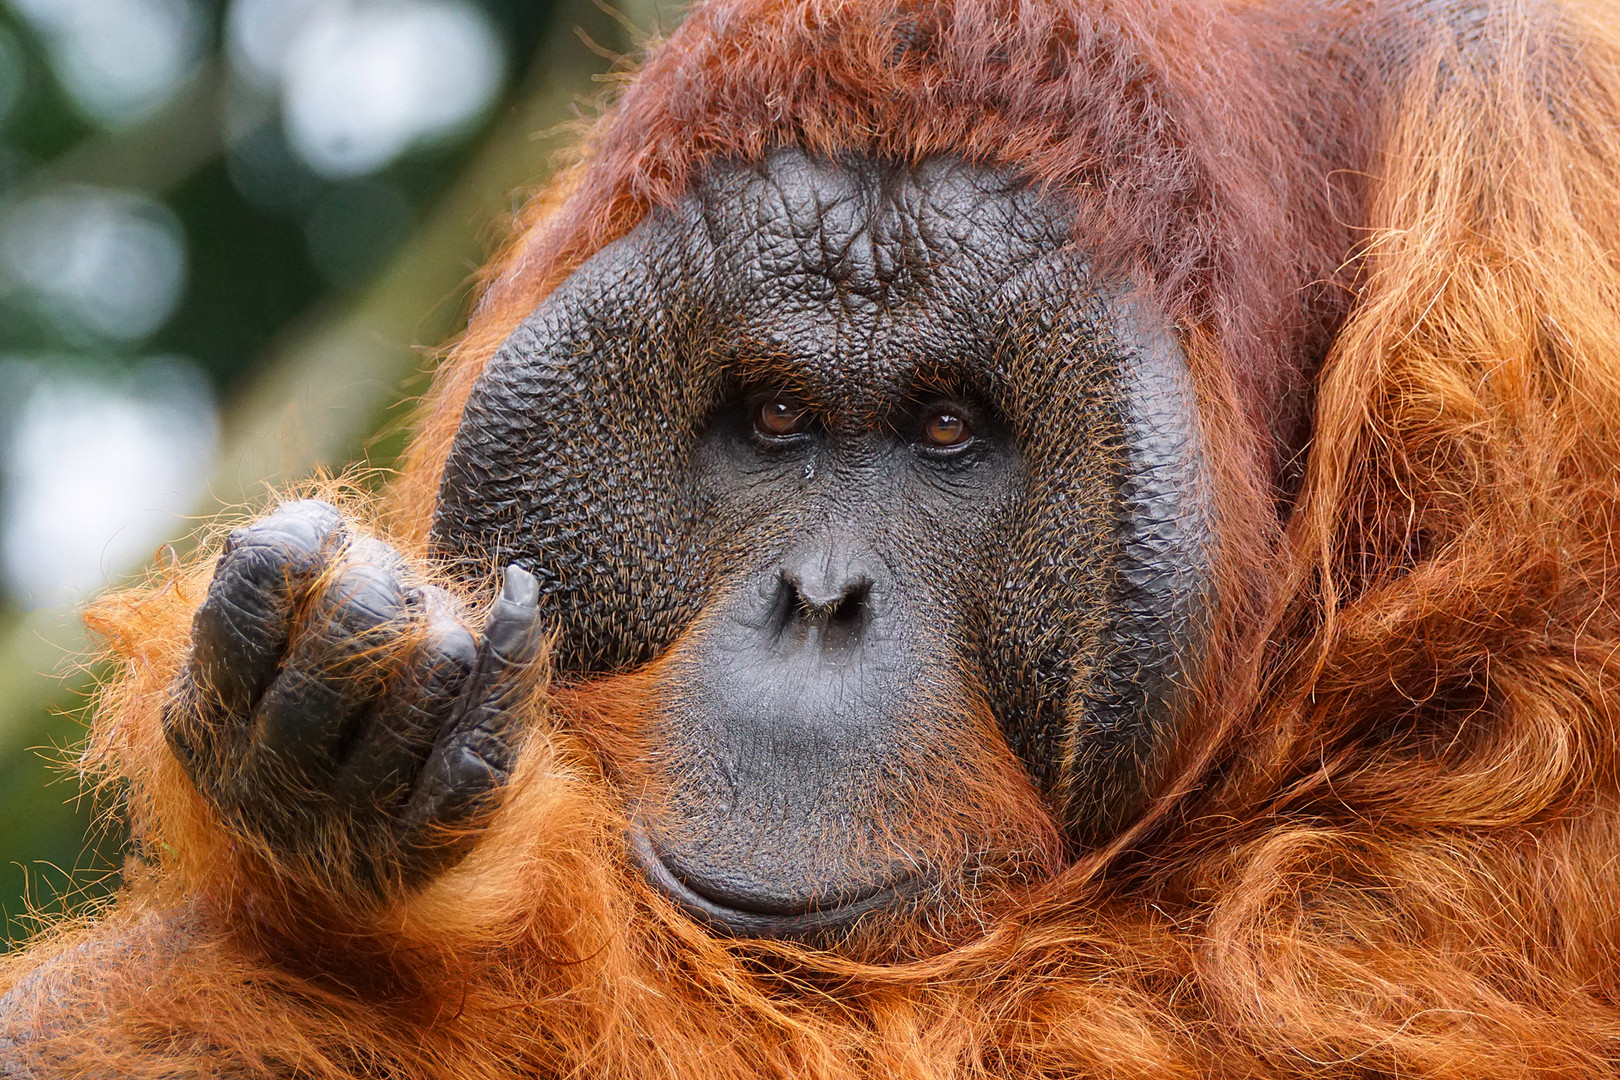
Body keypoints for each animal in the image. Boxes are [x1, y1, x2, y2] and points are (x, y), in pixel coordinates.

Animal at [7, 0, 1620, 1076]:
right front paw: (324, 733)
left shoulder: (1536, 334)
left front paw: (356, 878)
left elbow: (1289, 982)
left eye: (950, 429)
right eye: (775, 417)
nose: (821, 598)